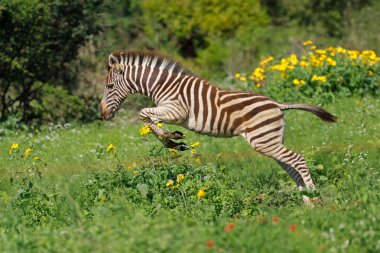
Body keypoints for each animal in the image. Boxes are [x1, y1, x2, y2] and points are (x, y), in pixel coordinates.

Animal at [99, 50, 336, 204]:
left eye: (109, 86)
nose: (102, 114)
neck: (162, 85)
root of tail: (277, 104)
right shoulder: (169, 111)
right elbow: (149, 120)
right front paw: (173, 140)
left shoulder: (177, 110)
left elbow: (144, 114)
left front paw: (171, 138)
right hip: (271, 141)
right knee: (292, 166)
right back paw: (306, 202)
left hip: (264, 141)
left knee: (299, 160)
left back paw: (315, 199)